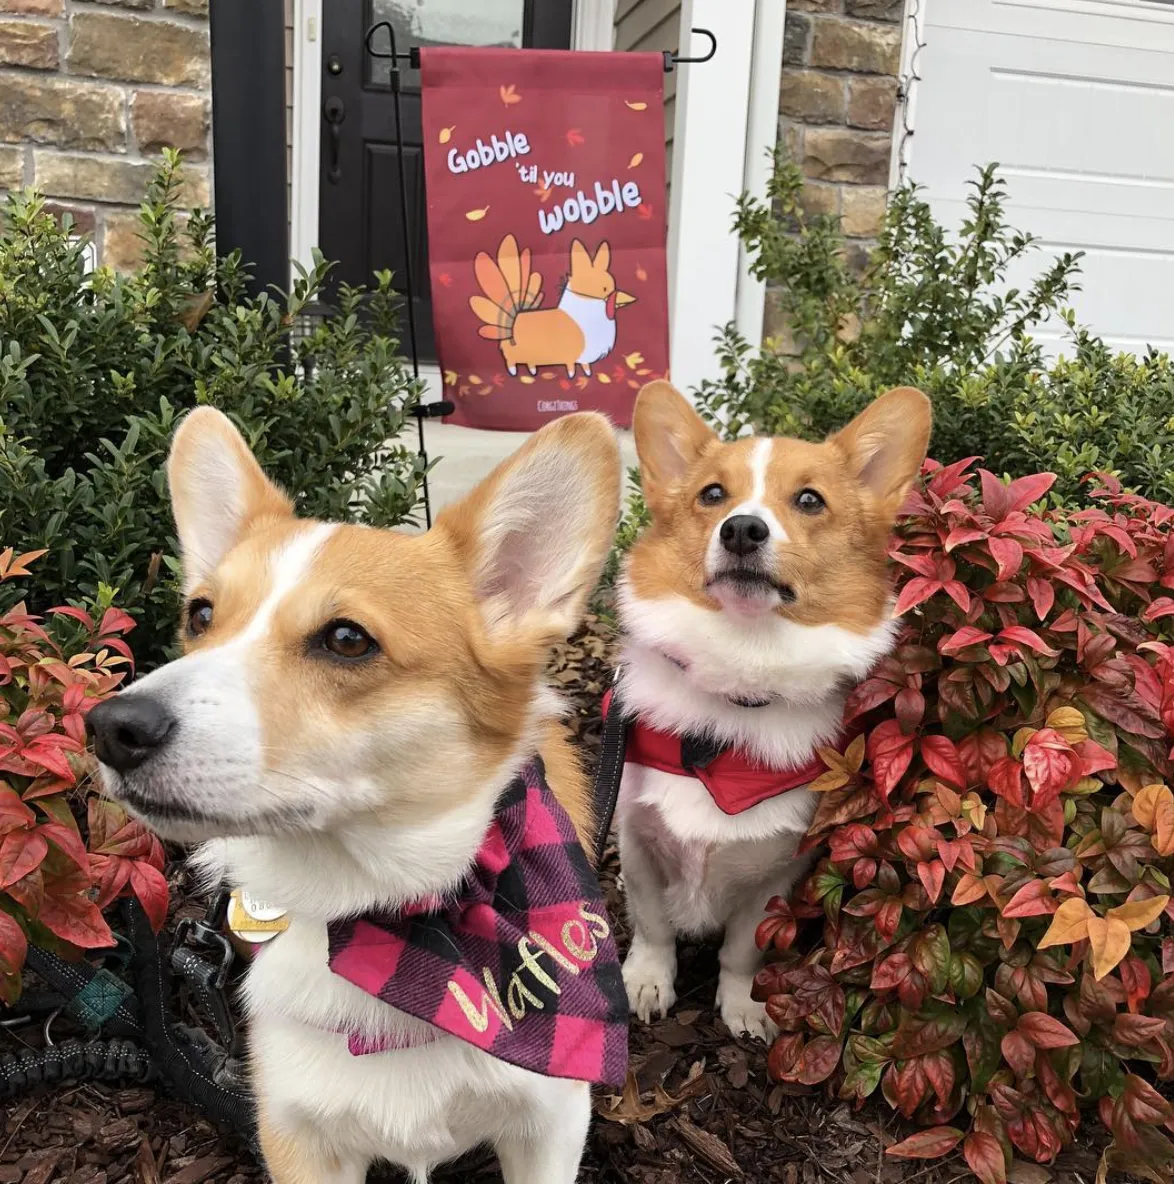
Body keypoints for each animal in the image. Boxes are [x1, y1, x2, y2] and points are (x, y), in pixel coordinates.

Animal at [86, 409, 629, 1184]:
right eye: (200, 615)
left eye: (347, 639)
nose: (111, 728)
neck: (393, 917)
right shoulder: (296, 1133)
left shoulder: (549, 1123)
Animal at [620, 383, 932, 1041]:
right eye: (713, 494)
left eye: (810, 500)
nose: (741, 529)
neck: (743, 673)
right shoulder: (636, 840)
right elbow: (652, 925)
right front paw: (647, 982)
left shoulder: (780, 872)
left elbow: (743, 948)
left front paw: (744, 1007)